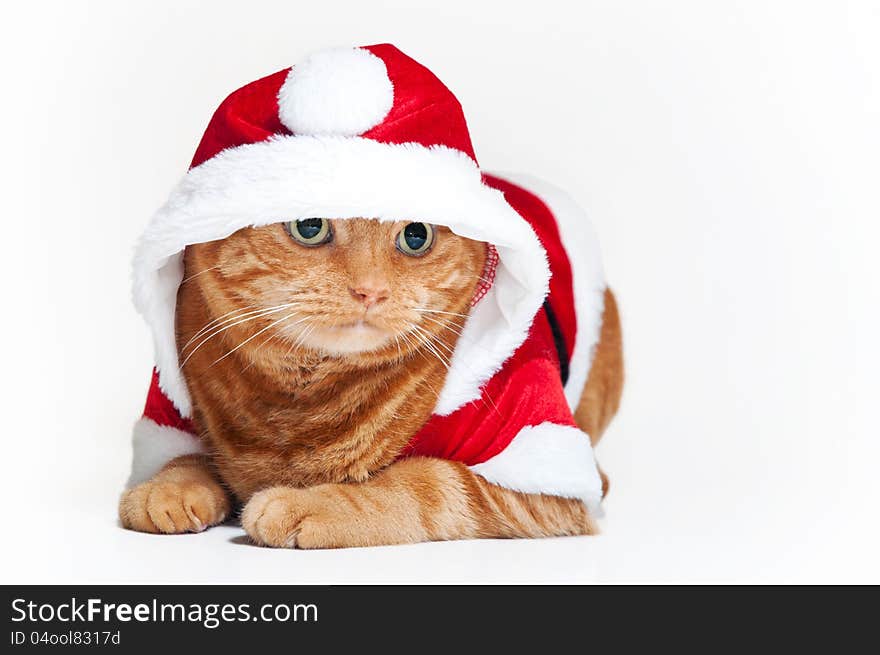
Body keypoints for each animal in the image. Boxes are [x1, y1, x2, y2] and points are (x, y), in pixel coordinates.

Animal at [118, 218, 624, 544]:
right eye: (309, 226)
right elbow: (184, 457)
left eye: (416, 236)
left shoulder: (536, 469)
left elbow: (420, 482)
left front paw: (310, 504)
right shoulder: (172, 403)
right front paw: (167, 487)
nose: (370, 291)